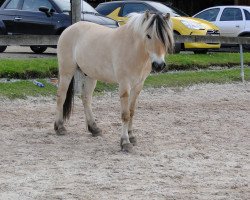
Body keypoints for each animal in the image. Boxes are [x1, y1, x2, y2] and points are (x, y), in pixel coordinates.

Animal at [54, 10, 174, 152]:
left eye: (166, 36)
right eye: (148, 36)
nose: (159, 65)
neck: (133, 49)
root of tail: (69, 29)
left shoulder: (138, 86)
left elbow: (132, 112)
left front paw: (131, 136)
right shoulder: (124, 84)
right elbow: (125, 114)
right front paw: (125, 142)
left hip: (90, 75)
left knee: (86, 99)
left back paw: (94, 129)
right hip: (66, 72)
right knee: (61, 96)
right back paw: (59, 127)